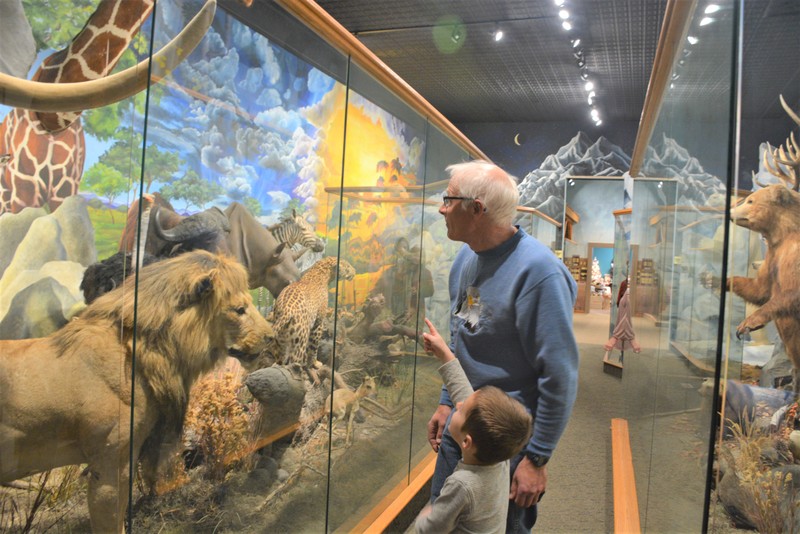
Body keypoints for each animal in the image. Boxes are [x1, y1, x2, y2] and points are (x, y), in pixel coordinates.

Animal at [728, 184, 800, 394]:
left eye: (750, 200)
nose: (730, 212)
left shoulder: (794, 254)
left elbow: (790, 293)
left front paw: (747, 324)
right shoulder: (773, 256)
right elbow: (760, 290)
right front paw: (715, 279)